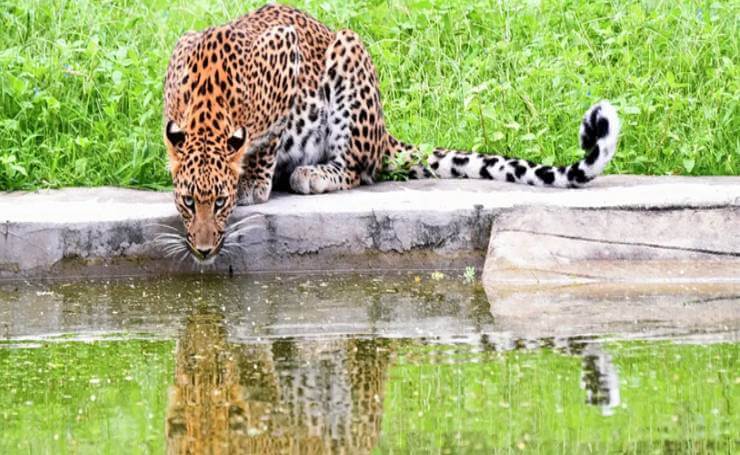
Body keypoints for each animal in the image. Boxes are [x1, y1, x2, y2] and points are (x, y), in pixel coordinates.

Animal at [163, 3, 620, 262]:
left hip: (349, 55)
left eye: (220, 202)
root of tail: (385, 134)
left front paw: (254, 184)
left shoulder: (285, 56)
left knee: (358, 169)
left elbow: (266, 142)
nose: (203, 249)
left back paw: (311, 174)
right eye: (187, 202)